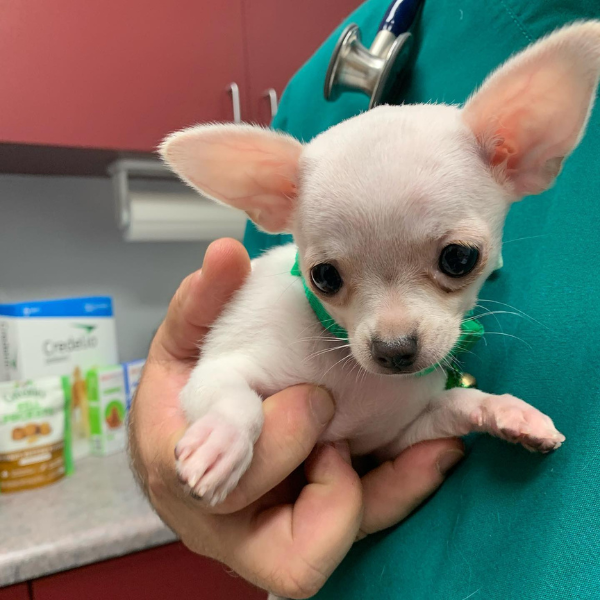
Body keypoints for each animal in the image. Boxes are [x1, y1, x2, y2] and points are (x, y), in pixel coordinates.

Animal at [161, 24, 600, 510]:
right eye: (324, 277)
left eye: (459, 258)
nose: (394, 350)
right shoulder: (216, 371)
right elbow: (236, 400)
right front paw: (221, 439)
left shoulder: (395, 439)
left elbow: (458, 404)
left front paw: (506, 409)